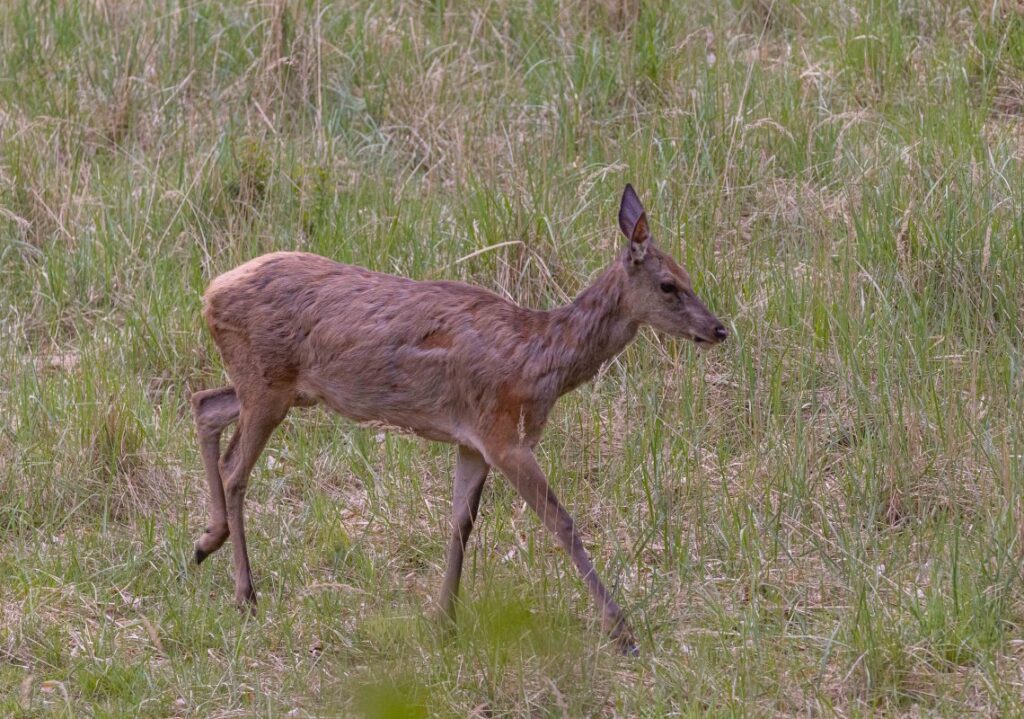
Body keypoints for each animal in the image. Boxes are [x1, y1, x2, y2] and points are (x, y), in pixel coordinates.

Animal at [190, 184, 729, 655]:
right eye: (669, 284)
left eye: (687, 275)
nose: (719, 328)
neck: (541, 358)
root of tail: (210, 292)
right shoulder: (504, 434)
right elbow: (561, 522)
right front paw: (622, 632)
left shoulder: (472, 440)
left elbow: (460, 524)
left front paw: (444, 620)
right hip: (268, 383)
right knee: (235, 468)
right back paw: (245, 594)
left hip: (283, 389)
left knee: (204, 404)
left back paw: (204, 542)